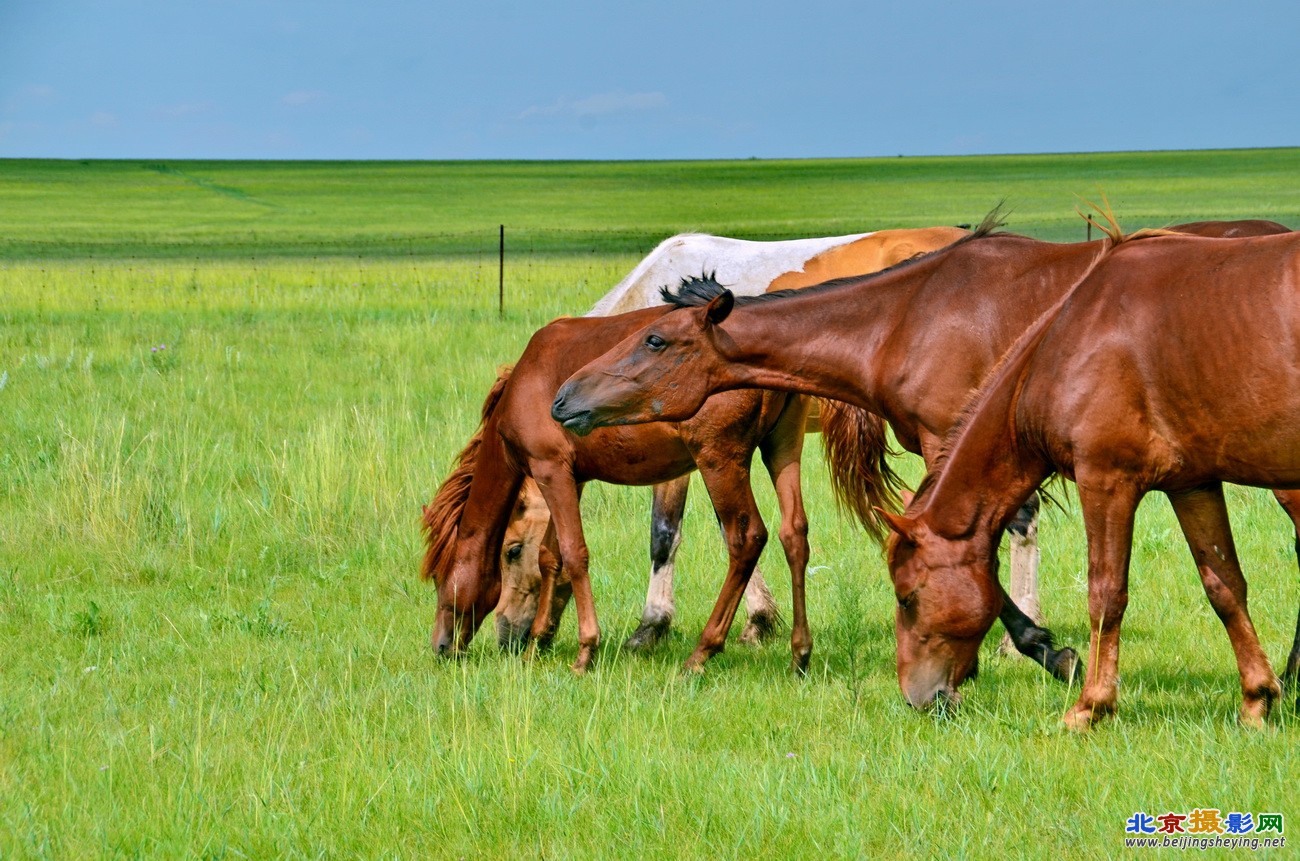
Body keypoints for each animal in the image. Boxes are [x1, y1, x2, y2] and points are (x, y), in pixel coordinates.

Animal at [878, 232, 1300, 733]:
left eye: (906, 598)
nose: (916, 698)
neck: (1068, 341)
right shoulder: (1193, 485)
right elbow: (1225, 587)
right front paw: (1257, 699)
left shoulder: (1105, 480)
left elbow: (1105, 593)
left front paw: (1090, 706)